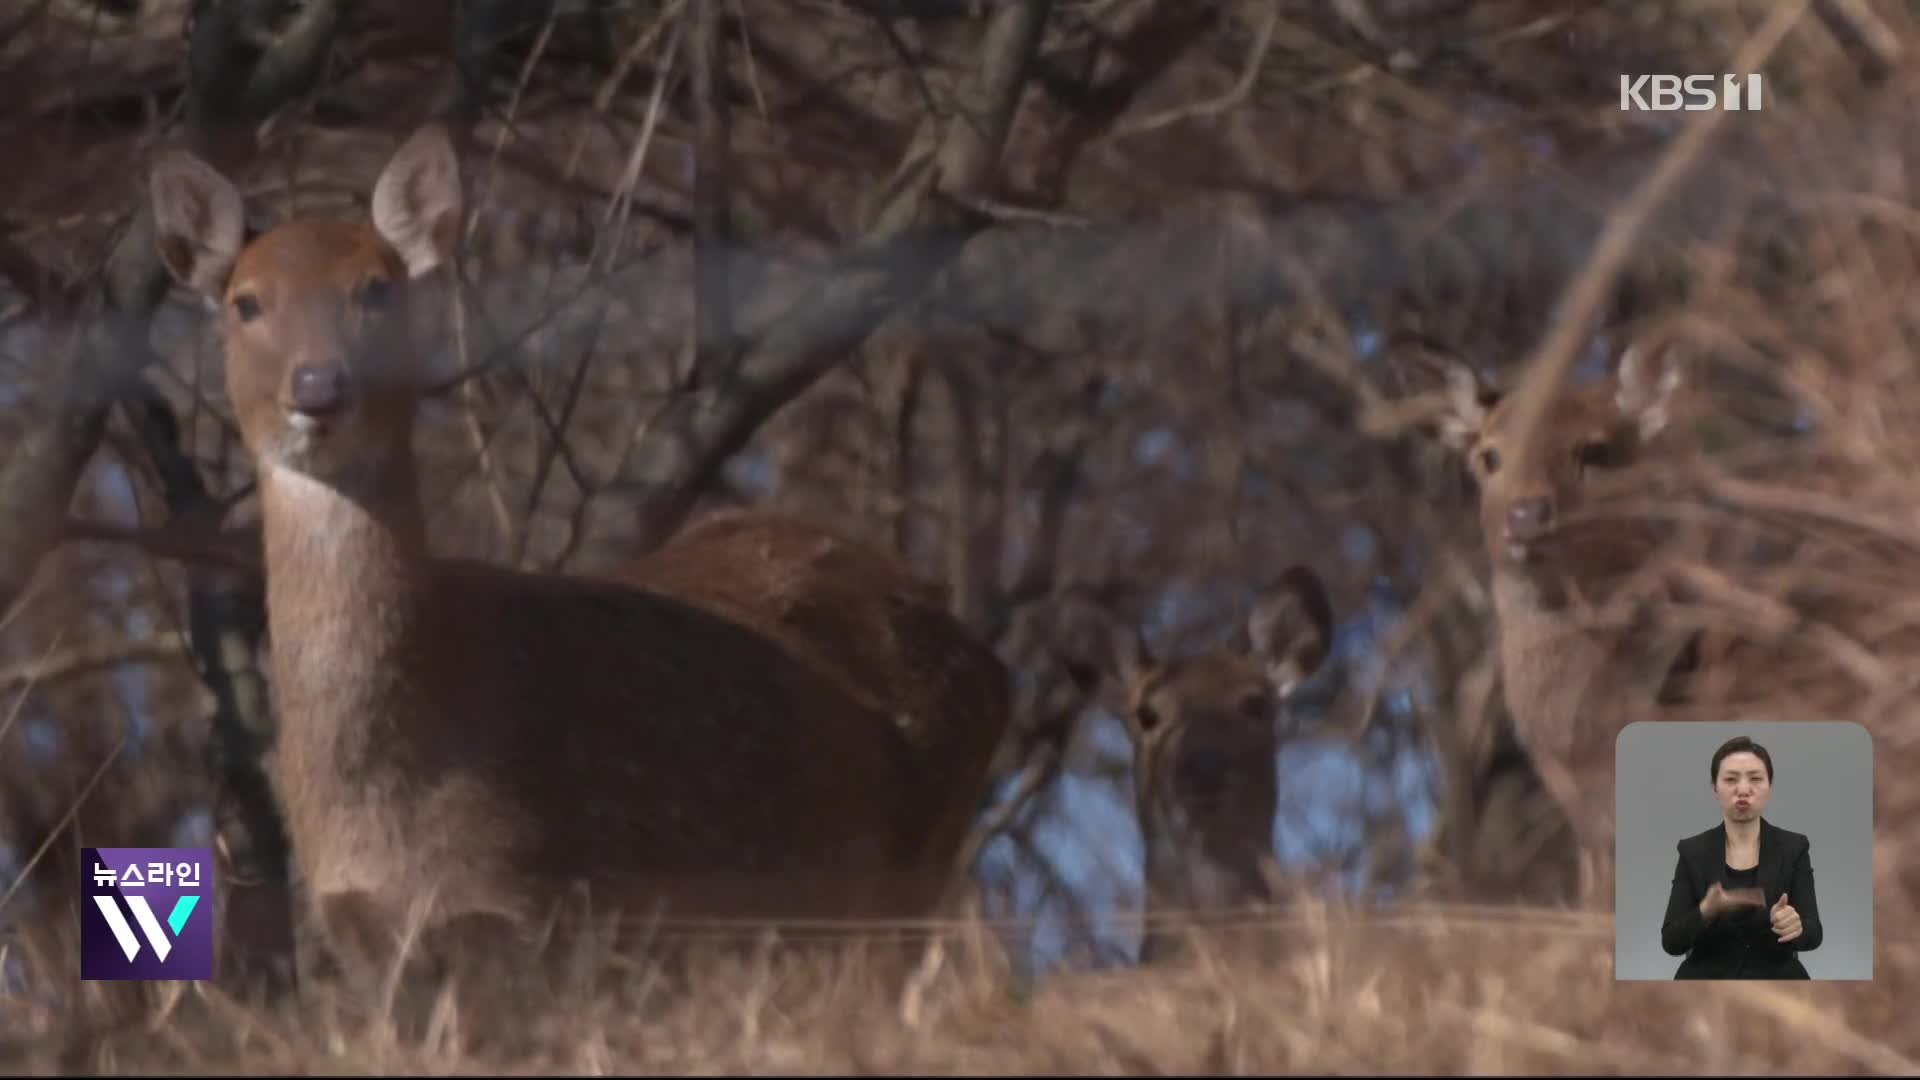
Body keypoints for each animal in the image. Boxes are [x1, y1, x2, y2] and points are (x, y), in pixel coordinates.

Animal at [145, 119, 1021, 991]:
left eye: (377, 289)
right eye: (246, 302)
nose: (319, 386)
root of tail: (988, 661)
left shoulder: (546, 906)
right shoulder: (364, 936)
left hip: (902, 878)